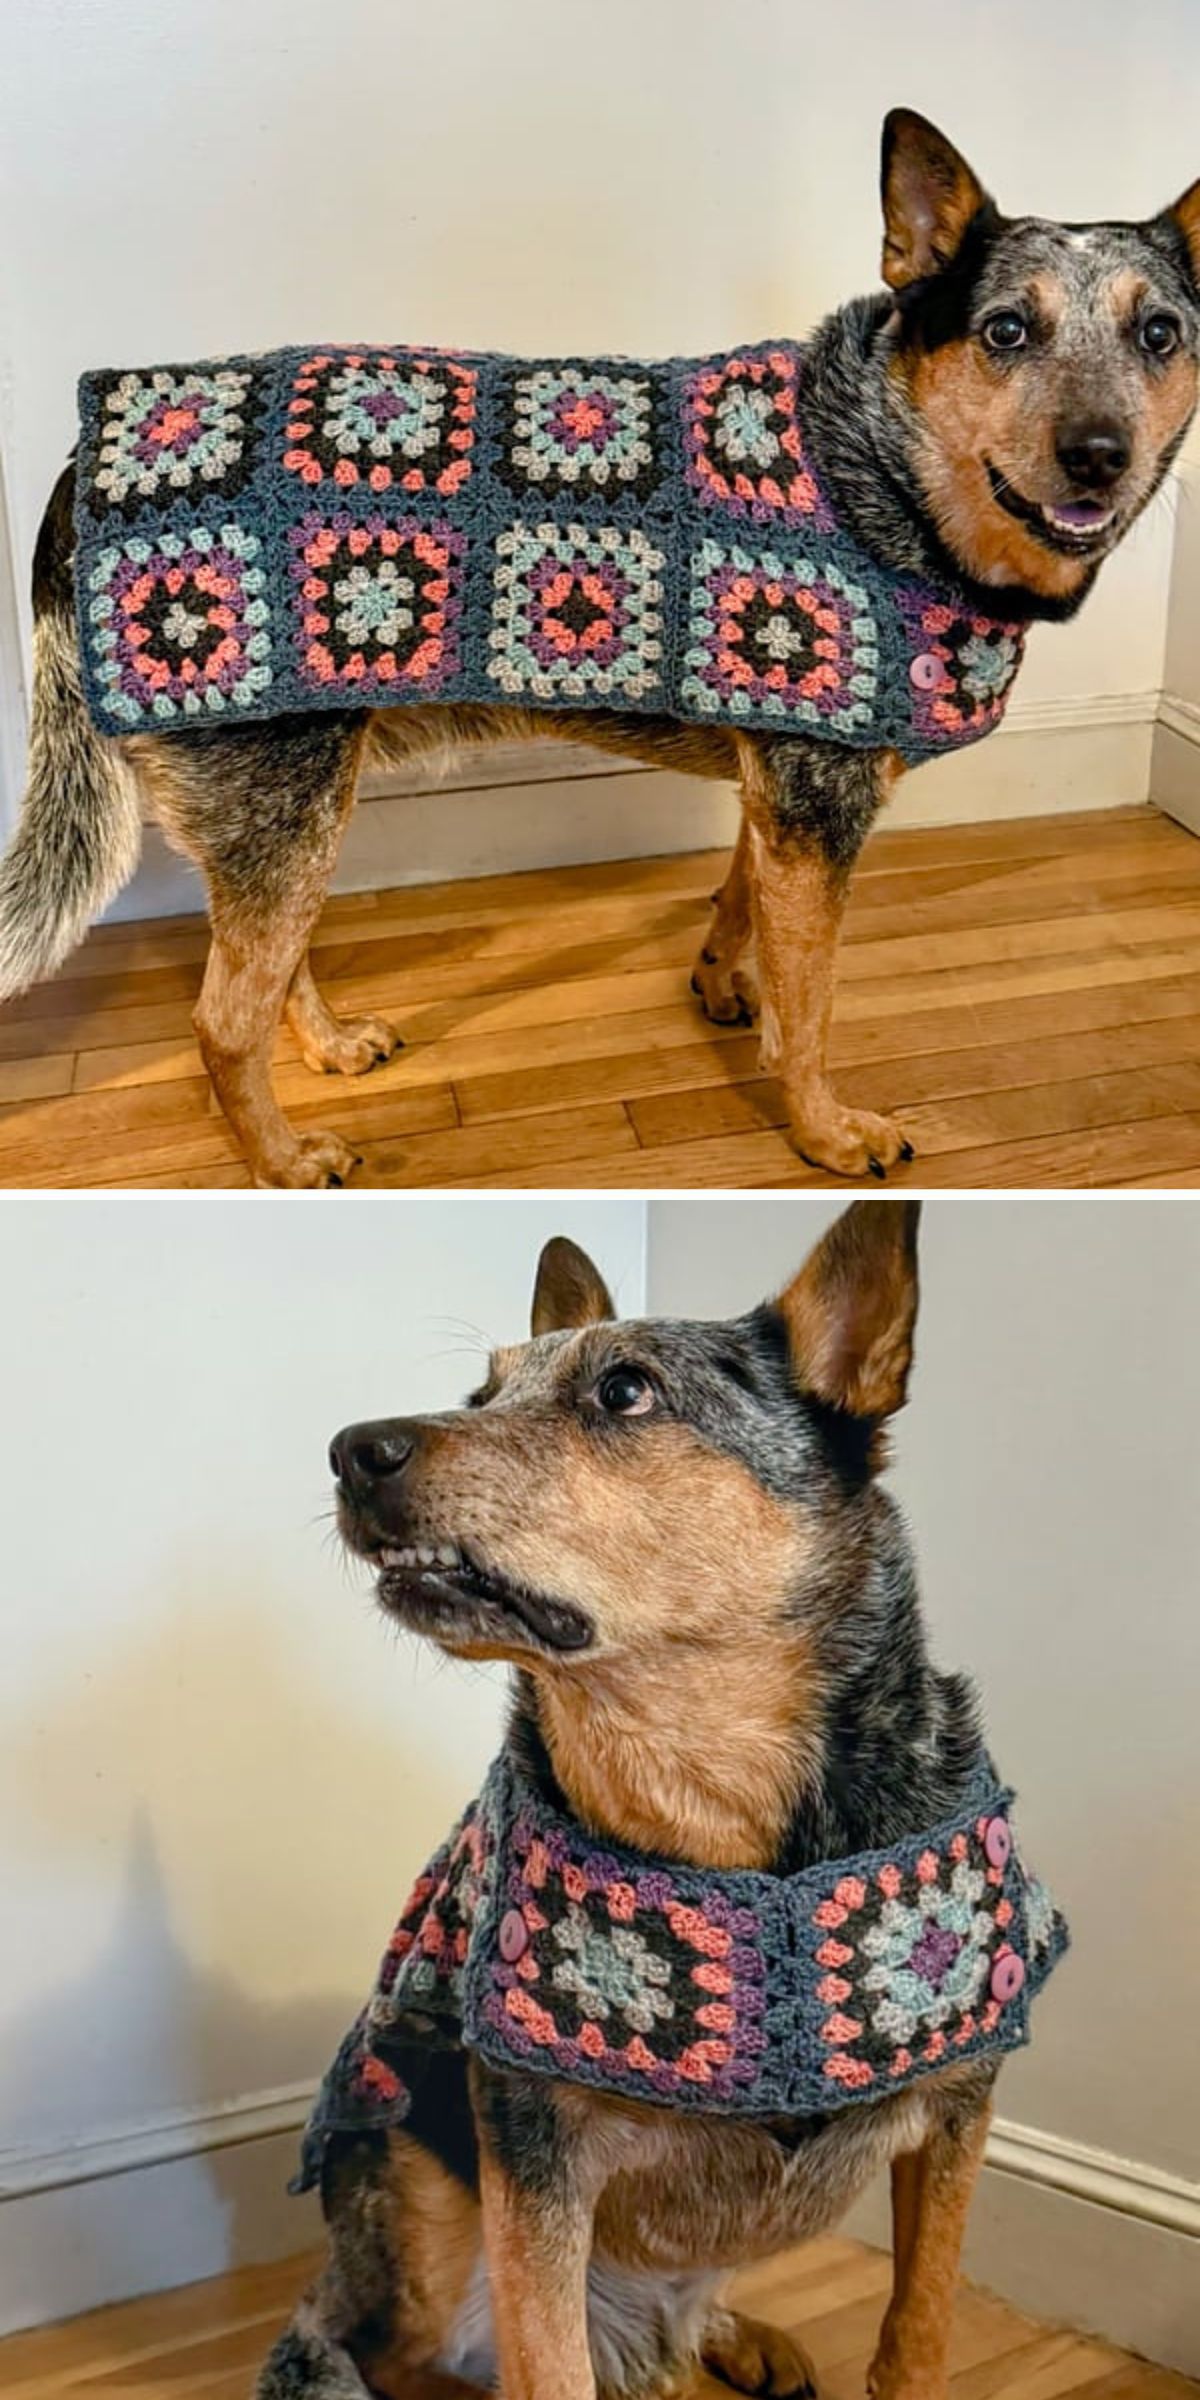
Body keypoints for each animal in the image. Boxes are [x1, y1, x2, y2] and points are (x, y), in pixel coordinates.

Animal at [2, 110, 1200, 1180]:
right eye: (1005, 332)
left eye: (1161, 335)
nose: (1099, 454)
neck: (878, 461)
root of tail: (77, 463)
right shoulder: (819, 810)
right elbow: (811, 1009)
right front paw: (822, 1129)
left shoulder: (776, 782)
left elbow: (738, 903)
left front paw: (721, 981)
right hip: (286, 810)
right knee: (221, 1024)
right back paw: (283, 1162)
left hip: (290, 817)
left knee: (269, 977)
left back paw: (329, 1050)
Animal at [255, 1200, 1070, 2400]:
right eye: (478, 1397)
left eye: (625, 1391)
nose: (354, 1448)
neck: (717, 1807)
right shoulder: (533, 2160)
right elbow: (547, 2369)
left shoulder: (959, 2116)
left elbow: (917, 2332)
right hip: (418, 2200)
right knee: (392, 2349)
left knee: (681, 2314)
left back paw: (738, 2336)